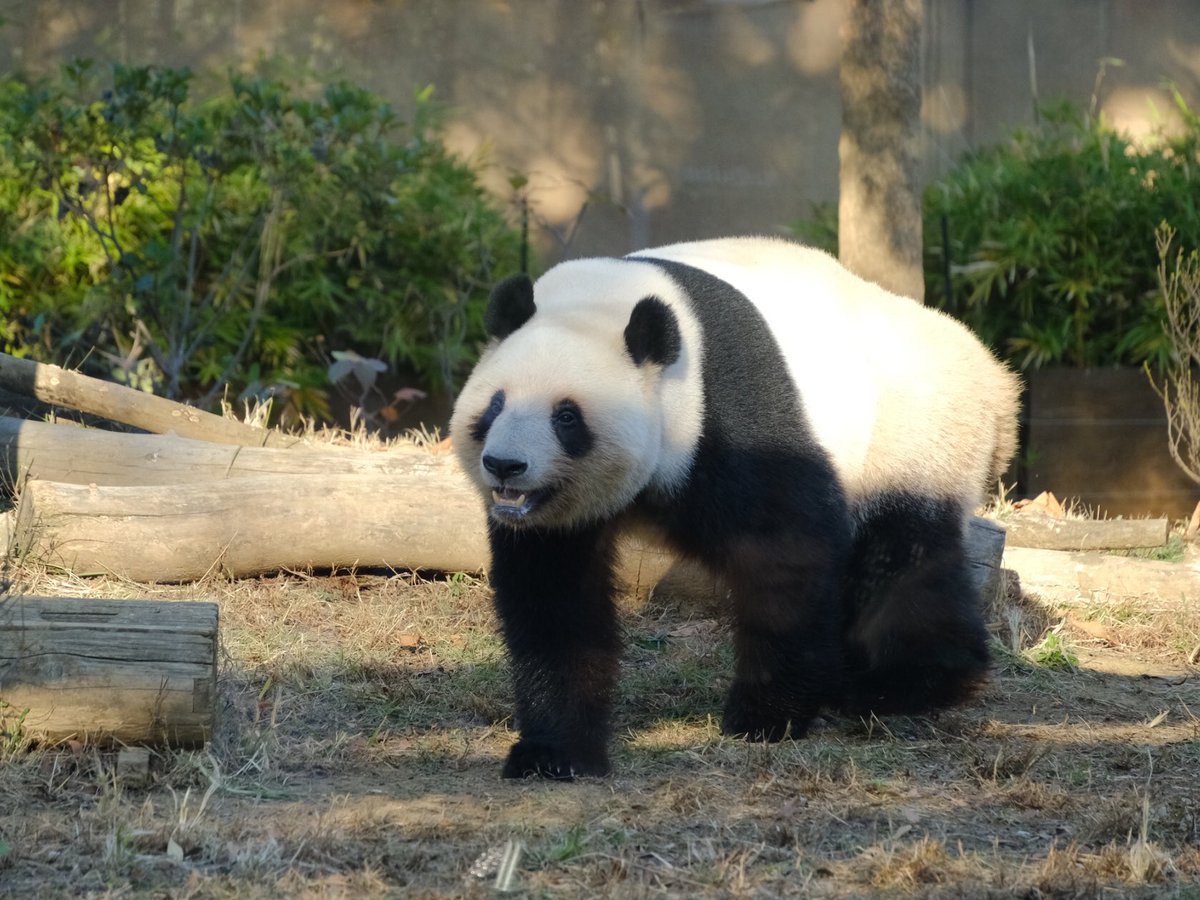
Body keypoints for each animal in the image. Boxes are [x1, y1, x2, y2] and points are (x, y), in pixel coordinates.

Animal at [450, 236, 1021, 780]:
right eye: (495, 405)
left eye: (566, 417)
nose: (505, 465)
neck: (602, 303)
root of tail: (999, 385)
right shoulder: (555, 517)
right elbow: (553, 595)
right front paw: (554, 751)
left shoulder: (729, 409)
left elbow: (787, 552)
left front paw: (765, 715)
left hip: (915, 435)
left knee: (903, 559)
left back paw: (901, 682)